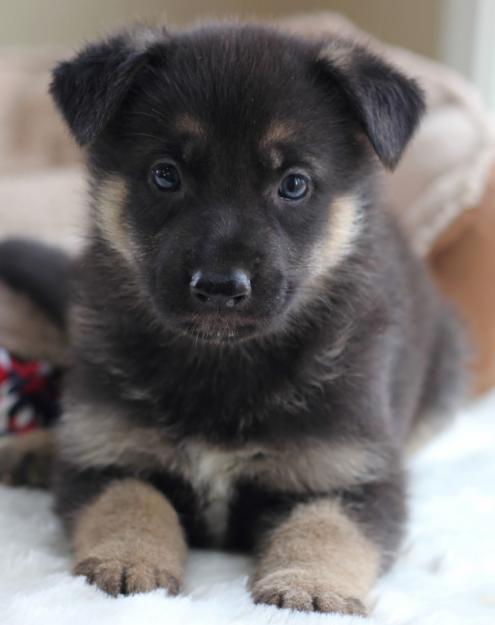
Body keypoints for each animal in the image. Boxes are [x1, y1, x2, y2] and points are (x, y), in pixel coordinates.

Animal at [2, 22, 468, 616]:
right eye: (165, 175)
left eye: (294, 183)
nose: (220, 288)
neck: (222, 366)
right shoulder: (105, 453)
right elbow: (131, 500)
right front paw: (129, 560)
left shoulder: (353, 470)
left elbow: (325, 528)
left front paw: (309, 585)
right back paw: (33, 449)